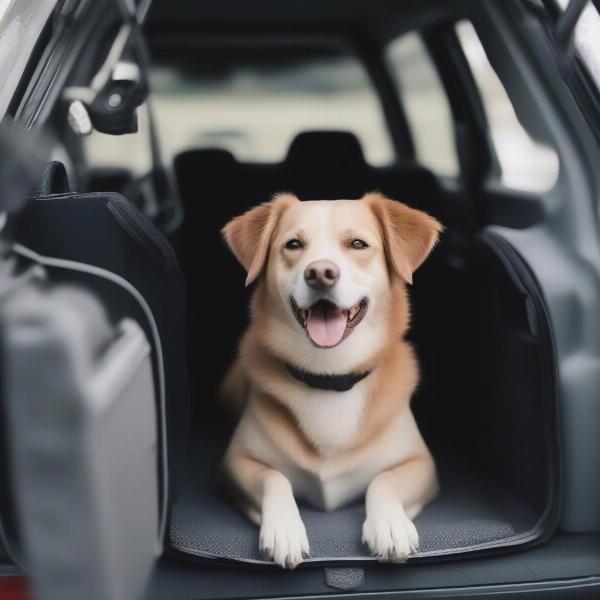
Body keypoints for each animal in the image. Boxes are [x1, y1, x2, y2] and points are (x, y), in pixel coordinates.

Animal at [219, 191, 440, 568]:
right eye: (293, 244)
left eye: (358, 244)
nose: (320, 273)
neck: (329, 375)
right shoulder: (235, 463)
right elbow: (273, 476)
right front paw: (284, 527)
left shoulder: (422, 464)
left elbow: (385, 478)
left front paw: (390, 524)